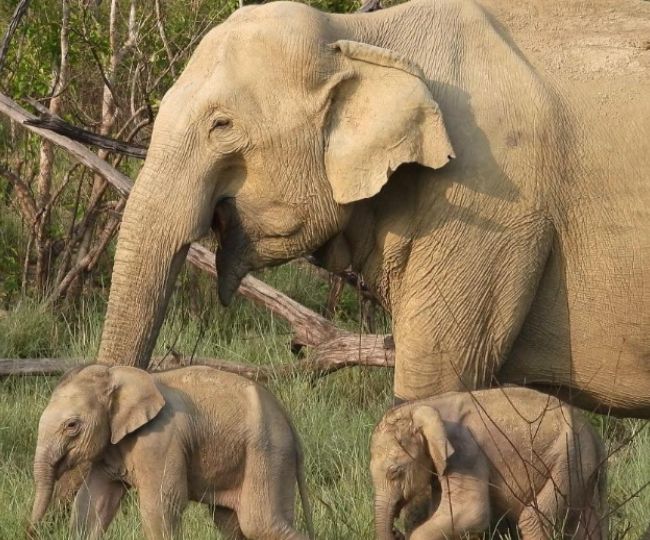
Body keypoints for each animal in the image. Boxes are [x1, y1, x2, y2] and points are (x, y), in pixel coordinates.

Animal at [29, 365, 314, 540]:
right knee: (231, 523)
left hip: (268, 452)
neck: (117, 372)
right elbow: (92, 503)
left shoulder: (160, 440)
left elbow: (162, 504)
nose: (31, 529)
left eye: (72, 426)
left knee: (259, 523)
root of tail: (288, 419)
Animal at [369, 387, 607, 540]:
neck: (425, 405)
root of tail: (594, 434)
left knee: (533, 519)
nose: (396, 532)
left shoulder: (465, 452)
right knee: (586, 523)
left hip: (568, 456)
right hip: (581, 464)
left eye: (395, 472)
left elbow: (471, 511)